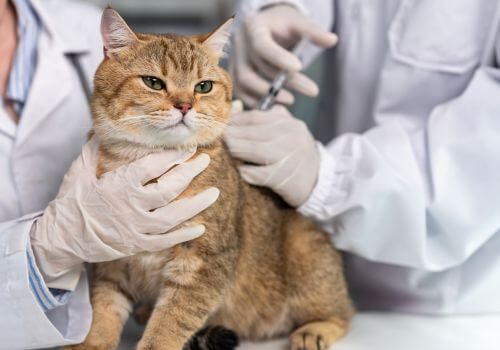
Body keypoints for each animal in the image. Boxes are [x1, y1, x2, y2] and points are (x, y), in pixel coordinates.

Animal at [67, 7, 356, 350]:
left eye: (203, 86)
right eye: (153, 82)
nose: (184, 105)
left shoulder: (203, 263)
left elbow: (168, 324)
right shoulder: (112, 262)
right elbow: (102, 313)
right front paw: (91, 342)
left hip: (306, 256)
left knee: (344, 314)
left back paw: (316, 329)